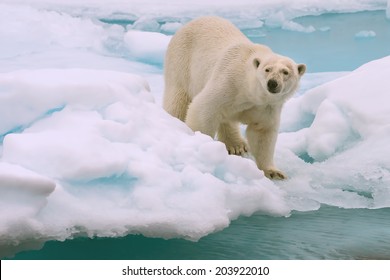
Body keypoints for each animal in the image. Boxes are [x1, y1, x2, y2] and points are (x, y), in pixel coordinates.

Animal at [163, 16, 306, 179]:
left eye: (285, 72)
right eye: (267, 69)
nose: (272, 83)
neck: (248, 89)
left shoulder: (267, 106)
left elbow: (262, 133)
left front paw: (273, 172)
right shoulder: (228, 82)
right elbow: (203, 109)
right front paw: (202, 144)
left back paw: (237, 145)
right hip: (181, 62)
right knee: (178, 100)